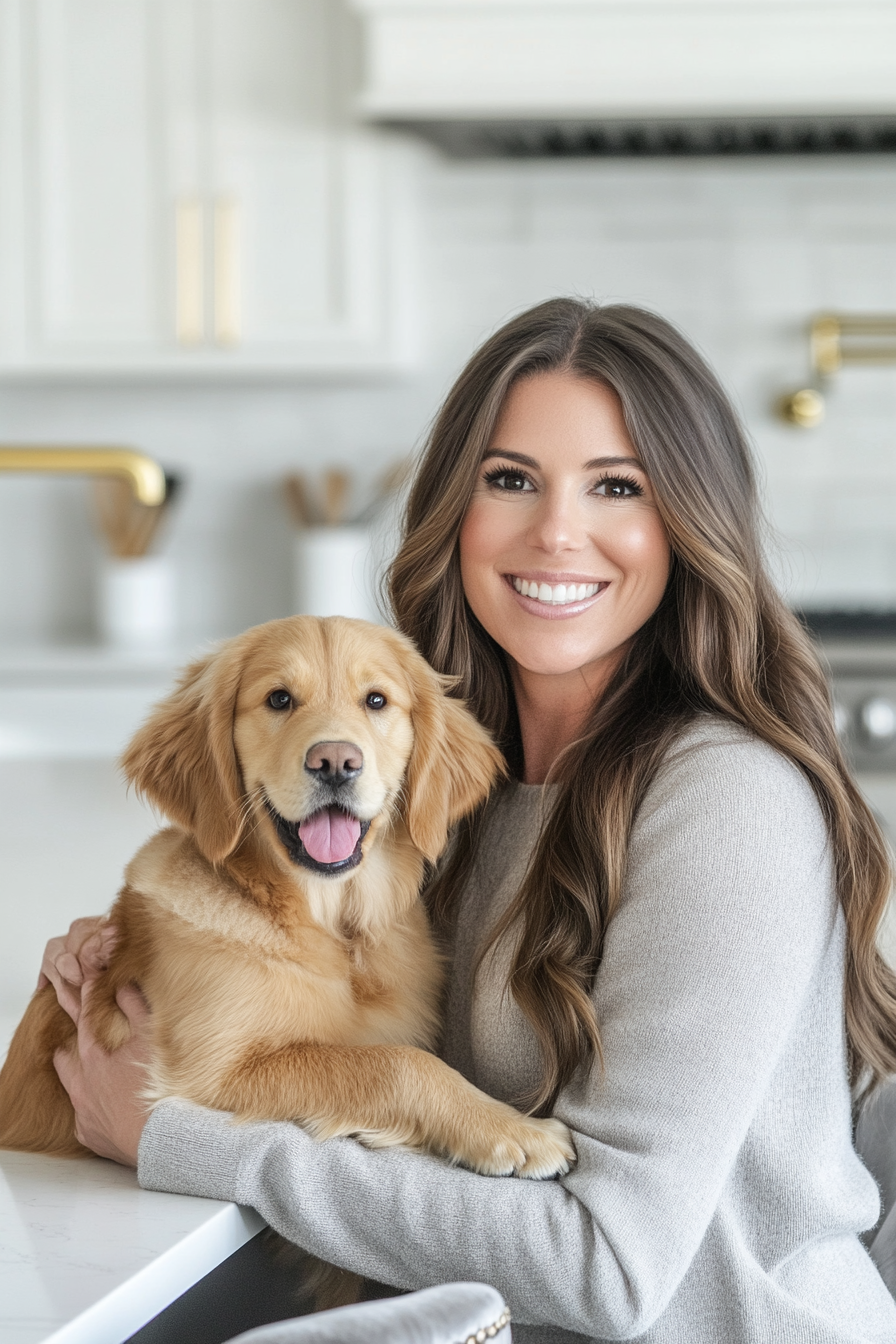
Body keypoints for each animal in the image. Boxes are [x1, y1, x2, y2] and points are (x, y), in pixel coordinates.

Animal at [0, 615, 574, 1193]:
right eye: (278, 699)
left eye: (376, 700)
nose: (336, 762)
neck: (332, 929)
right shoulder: (213, 1067)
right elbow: (395, 1064)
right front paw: (514, 1130)